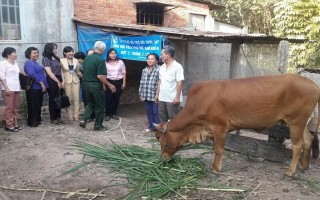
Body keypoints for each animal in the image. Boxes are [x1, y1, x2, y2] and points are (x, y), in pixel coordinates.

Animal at [154, 74, 318, 177]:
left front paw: (215, 168)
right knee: (308, 140)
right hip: (301, 123)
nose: (162, 158)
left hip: (295, 122)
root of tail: (314, 85)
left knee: (298, 146)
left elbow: (218, 149)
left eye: (159, 138)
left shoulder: (219, 127)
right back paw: (303, 166)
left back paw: (290, 171)